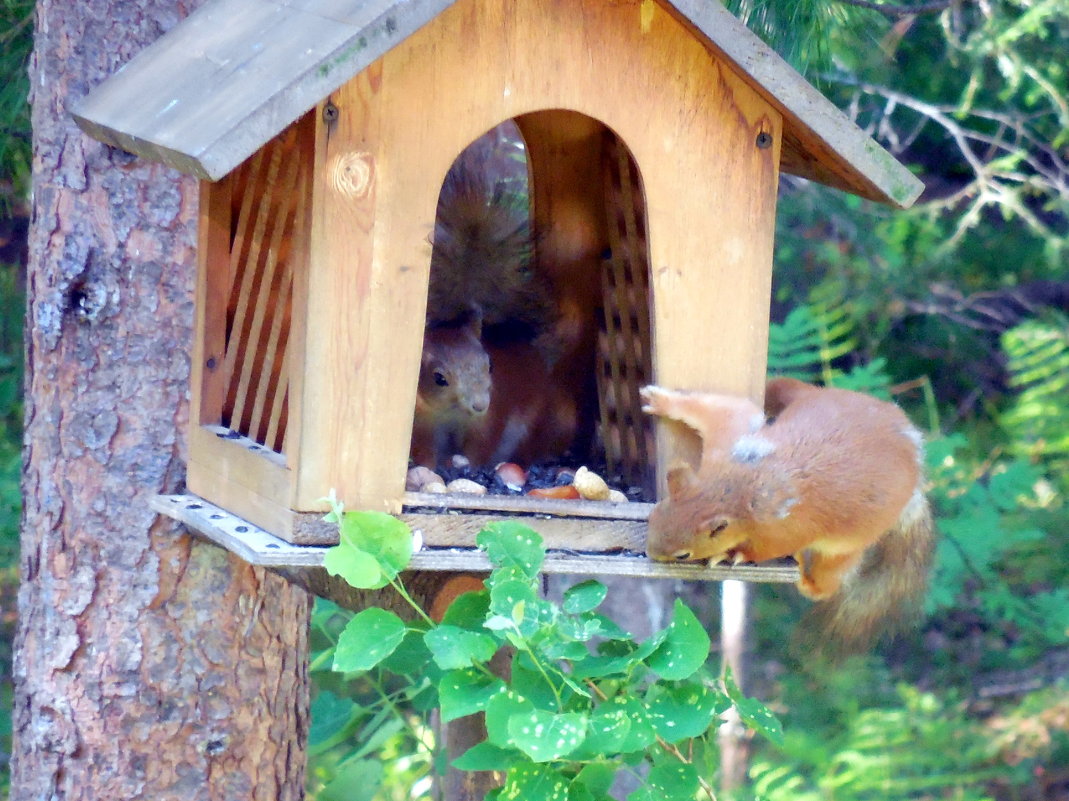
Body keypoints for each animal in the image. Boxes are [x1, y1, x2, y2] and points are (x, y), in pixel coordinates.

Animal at [641, 376, 936, 650]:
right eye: (653, 515)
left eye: (682, 554)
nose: (651, 554)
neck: (736, 487)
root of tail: (915, 453)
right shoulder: (731, 443)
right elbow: (725, 411)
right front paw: (662, 400)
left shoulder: (785, 528)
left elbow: (766, 548)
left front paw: (731, 553)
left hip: (846, 547)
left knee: (830, 576)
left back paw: (809, 582)